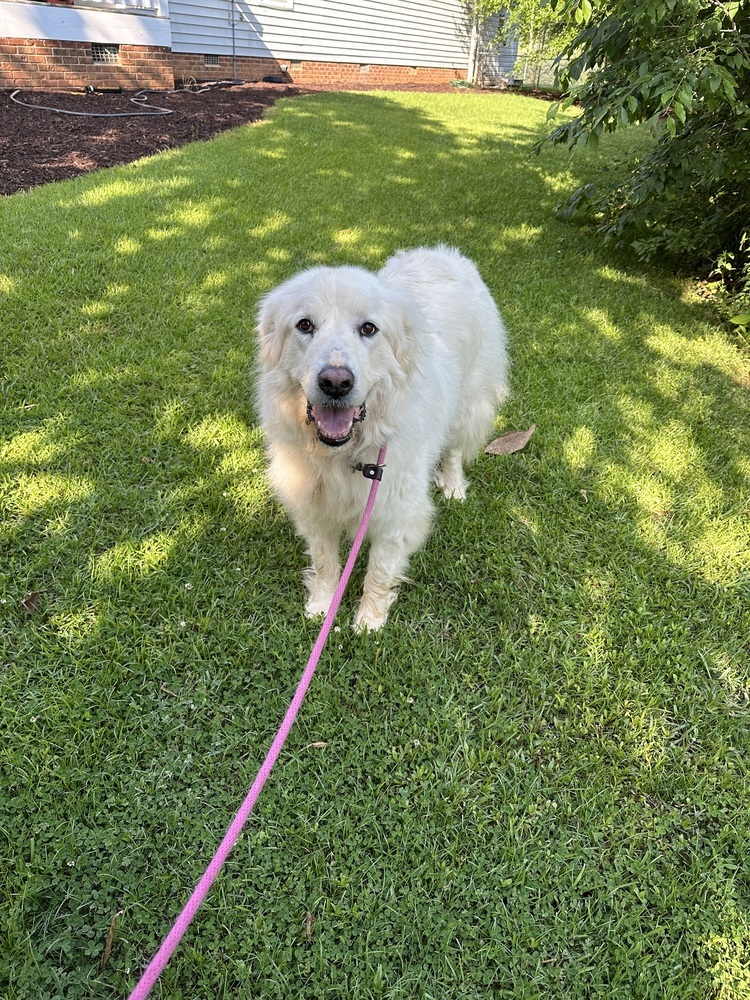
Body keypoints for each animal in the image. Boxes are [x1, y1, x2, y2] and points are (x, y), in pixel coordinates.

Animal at [258, 245, 512, 628]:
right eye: (304, 325)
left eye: (368, 328)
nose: (336, 382)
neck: (345, 453)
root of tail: (441, 253)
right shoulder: (314, 506)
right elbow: (325, 562)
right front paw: (322, 606)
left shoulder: (397, 509)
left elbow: (379, 569)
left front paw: (369, 621)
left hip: (467, 404)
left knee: (455, 449)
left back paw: (453, 486)